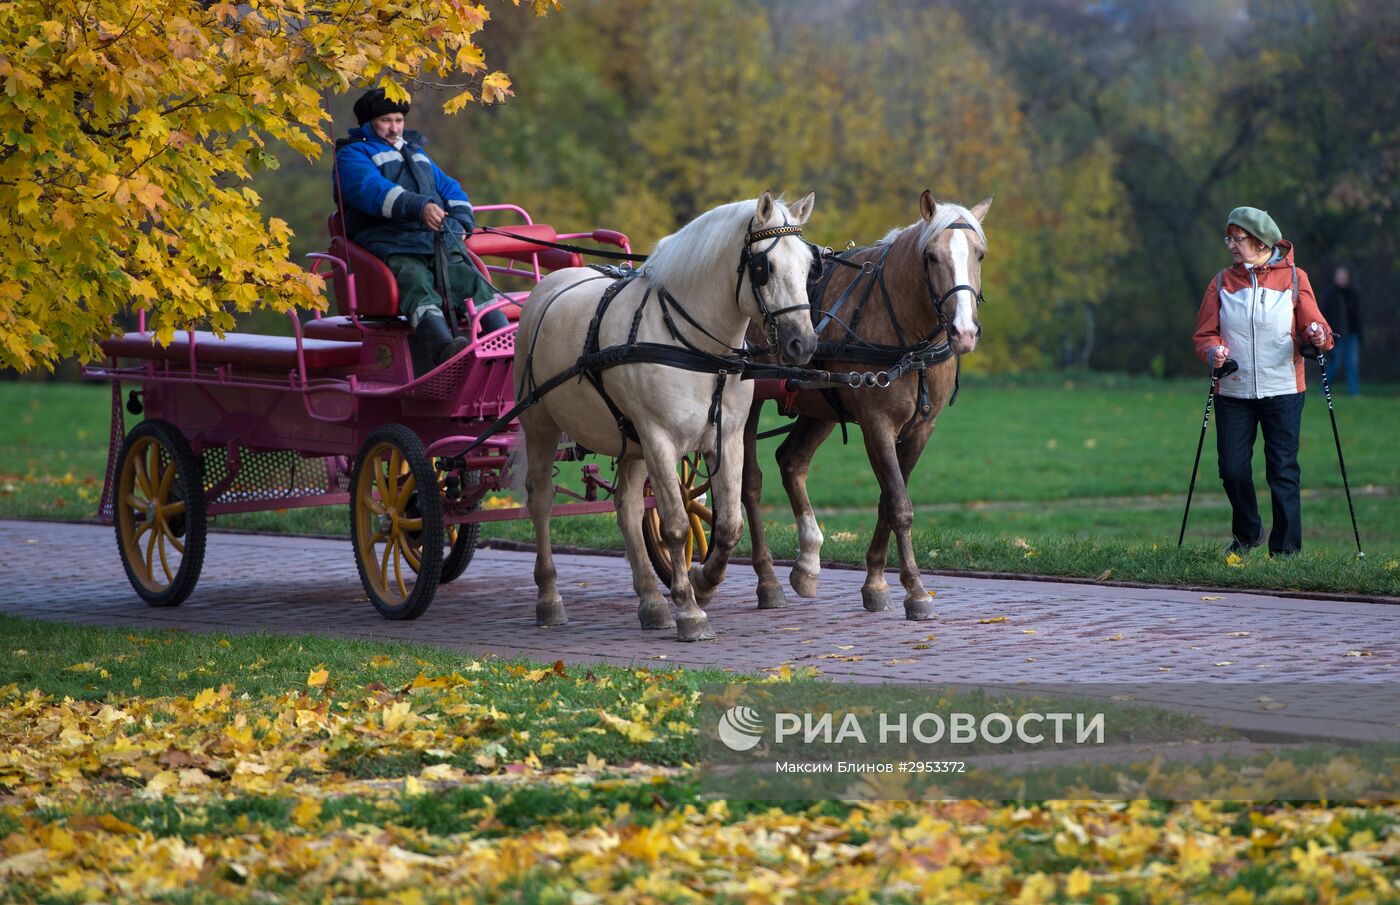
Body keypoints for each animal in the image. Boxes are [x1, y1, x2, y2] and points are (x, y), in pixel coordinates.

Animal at [515, 194, 817, 641]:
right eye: (766, 267)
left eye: (810, 266)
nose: (804, 343)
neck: (696, 348)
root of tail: (546, 287)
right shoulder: (659, 439)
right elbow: (675, 525)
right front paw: (691, 610)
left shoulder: (725, 439)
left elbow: (728, 525)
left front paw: (703, 582)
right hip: (540, 424)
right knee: (541, 502)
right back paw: (549, 599)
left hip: (630, 441)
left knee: (626, 508)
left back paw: (651, 602)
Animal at [739, 191, 991, 624]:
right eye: (931, 256)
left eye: (979, 254)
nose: (963, 331)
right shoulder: (877, 424)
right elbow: (899, 503)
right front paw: (915, 590)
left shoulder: (921, 429)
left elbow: (888, 500)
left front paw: (875, 582)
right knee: (750, 482)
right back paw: (767, 578)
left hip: (820, 405)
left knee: (792, 461)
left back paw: (808, 561)